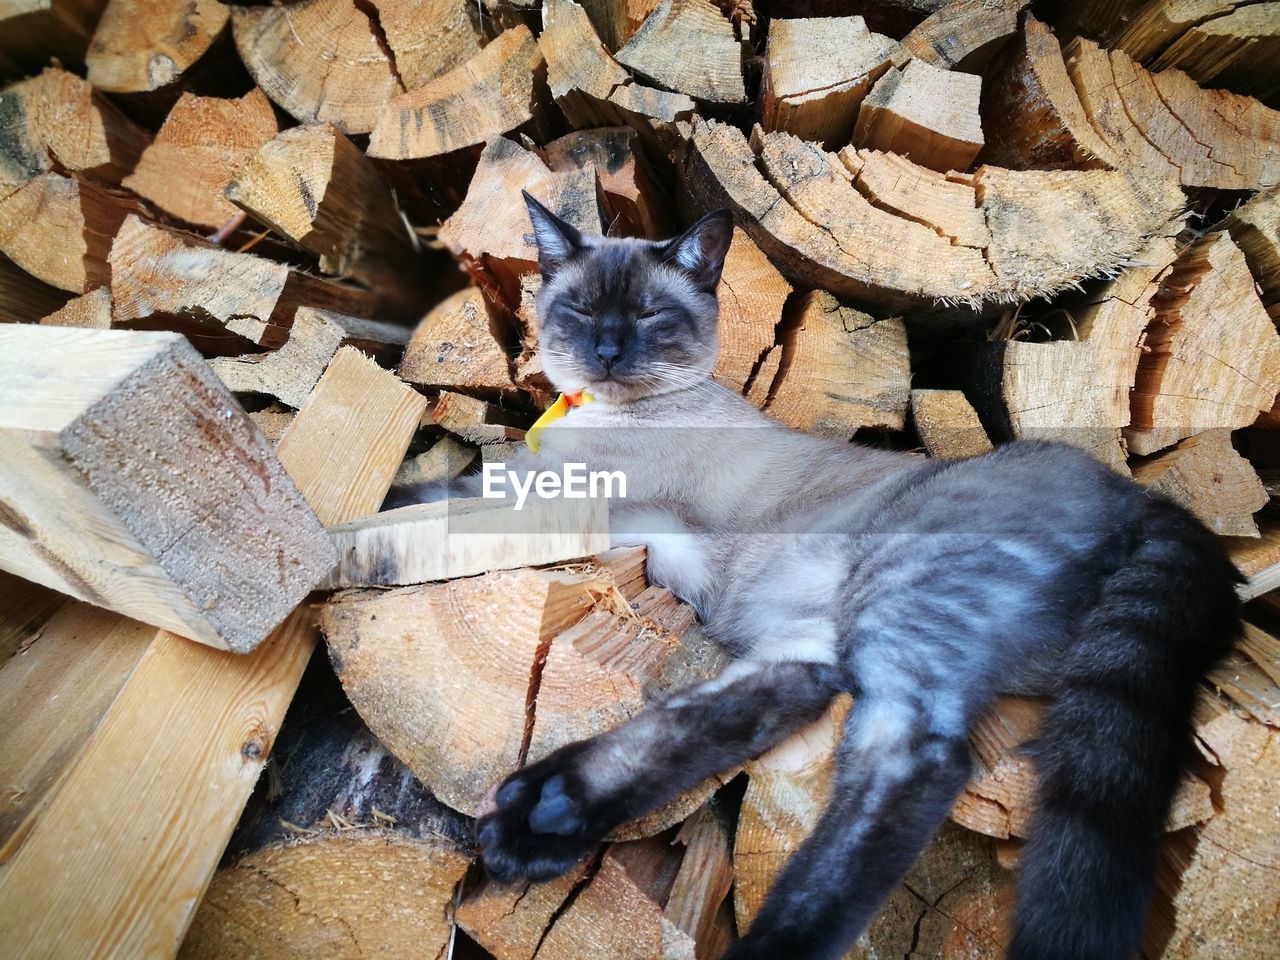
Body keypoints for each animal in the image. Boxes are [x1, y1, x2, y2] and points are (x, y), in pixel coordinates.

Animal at [463, 197, 1249, 960]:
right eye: (581, 311)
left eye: (651, 316)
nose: (606, 351)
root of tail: (1135, 494)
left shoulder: (548, 486)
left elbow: (455, 486)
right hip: (812, 637)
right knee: (726, 715)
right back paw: (537, 820)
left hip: (902, 600)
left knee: (912, 760)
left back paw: (770, 943)